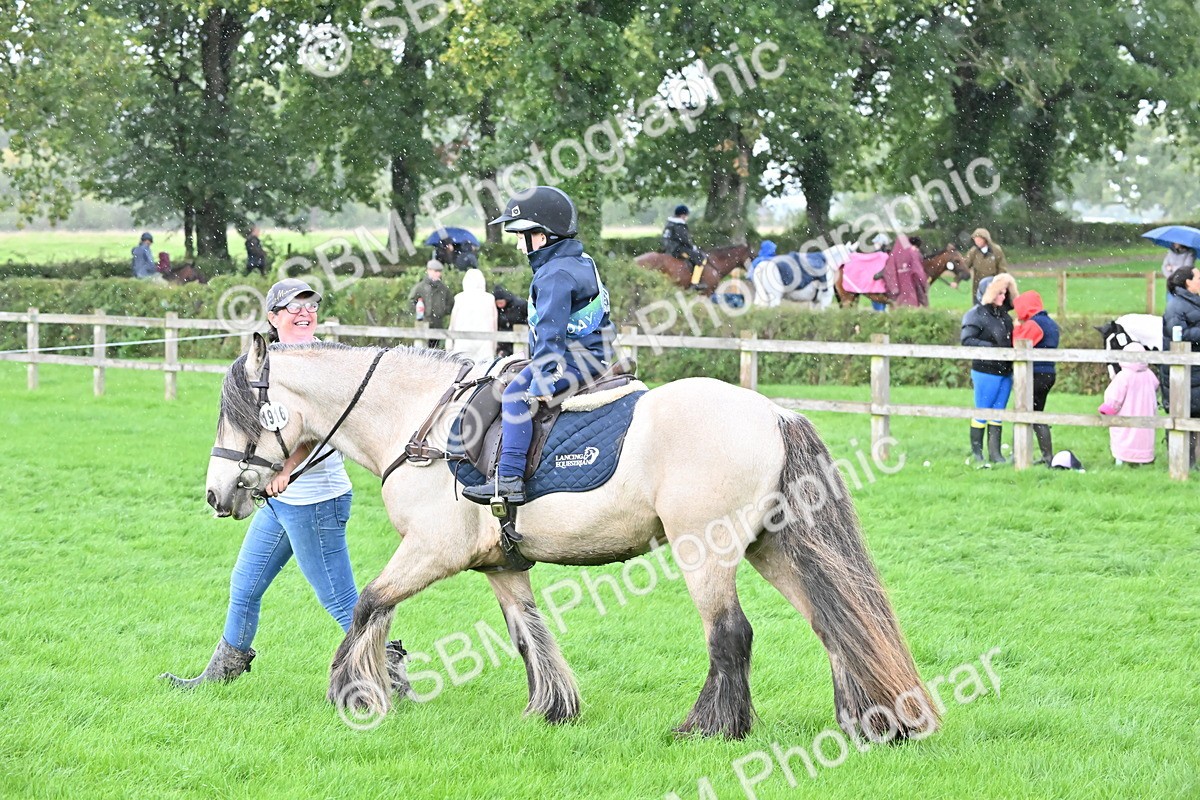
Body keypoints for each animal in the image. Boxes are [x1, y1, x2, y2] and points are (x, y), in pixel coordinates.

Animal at [205, 337, 939, 741]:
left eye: (238, 414)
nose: (217, 495)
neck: (424, 424)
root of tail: (774, 414)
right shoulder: (501, 565)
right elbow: (527, 633)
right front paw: (552, 709)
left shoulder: (431, 552)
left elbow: (369, 605)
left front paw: (356, 692)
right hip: (773, 548)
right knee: (832, 622)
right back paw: (869, 721)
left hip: (708, 551)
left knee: (732, 635)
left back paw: (709, 728)